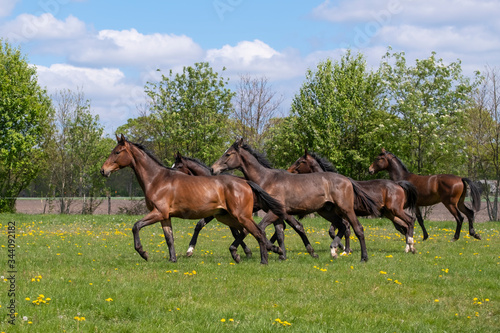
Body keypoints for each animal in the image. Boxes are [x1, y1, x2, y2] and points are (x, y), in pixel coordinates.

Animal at [100, 134, 286, 264]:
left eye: (117, 152)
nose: (103, 170)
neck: (157, 179)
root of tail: (245, 181)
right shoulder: (165, 216)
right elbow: (169, 238)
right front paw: (173, 259)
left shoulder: (157, 213)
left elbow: (136, 226)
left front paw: (143, 253)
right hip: (226, 217)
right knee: (250, 231)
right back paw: (258, 252)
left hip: (240, 216)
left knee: (258, 232)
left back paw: (264, 259)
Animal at [210, 138, 378, 262]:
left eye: (228, 154)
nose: (212, 169)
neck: (266, 179)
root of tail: (347, 180)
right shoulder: (277, 214)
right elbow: (279, 232)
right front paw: (281, 254)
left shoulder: (273, 212)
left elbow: (257, 228)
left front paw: (239, 252)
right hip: (326, 211)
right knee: (342, 226)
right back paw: (334, 250)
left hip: (346, 209)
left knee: (358, 229)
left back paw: (362, 257)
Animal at [288, 149, 420, 253]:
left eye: (300, 162)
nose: (289, 171)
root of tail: (398, 184)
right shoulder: (340, 214)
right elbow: (336, 231)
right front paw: (342, 248)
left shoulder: (345, 213)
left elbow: (345, 230)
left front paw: (344, 249)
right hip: (390, 213)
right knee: (404, 225)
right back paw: (408, 247)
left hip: (396, 210)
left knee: (410, 221)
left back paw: (411, 247)